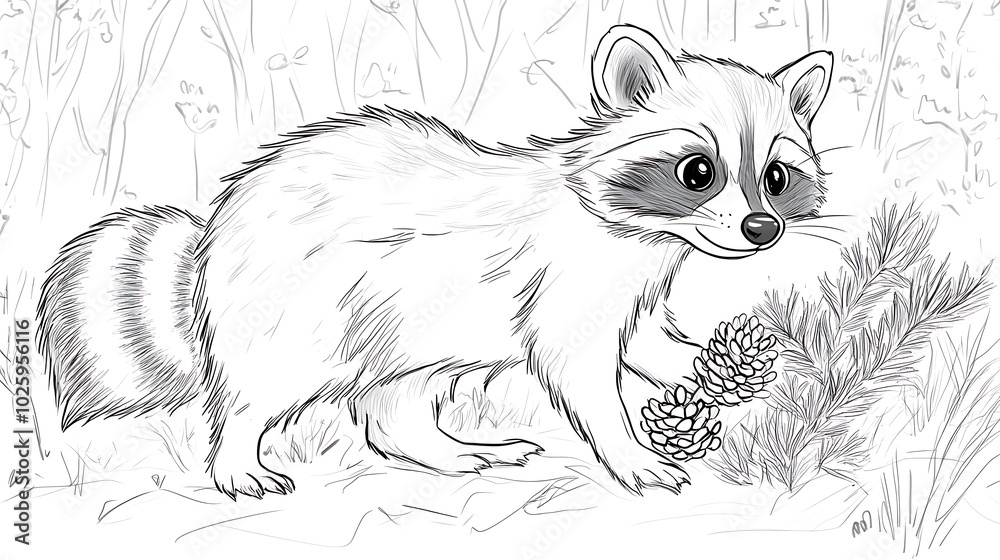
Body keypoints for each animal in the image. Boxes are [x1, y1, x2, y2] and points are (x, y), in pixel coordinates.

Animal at [38, 25, 833, 499]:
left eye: (776, 176)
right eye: (698, 171)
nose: (762, 229)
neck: (649, 235)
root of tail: (213, 236)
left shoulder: (632, 282)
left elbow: (645, 341)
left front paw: (719, 364)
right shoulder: (568, 285)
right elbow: (578, 370)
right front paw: (628, 447)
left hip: (403, 331)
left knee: (393, 404)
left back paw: (444, 446)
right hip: (300, 308)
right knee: (258, 391)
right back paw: (236, 454)